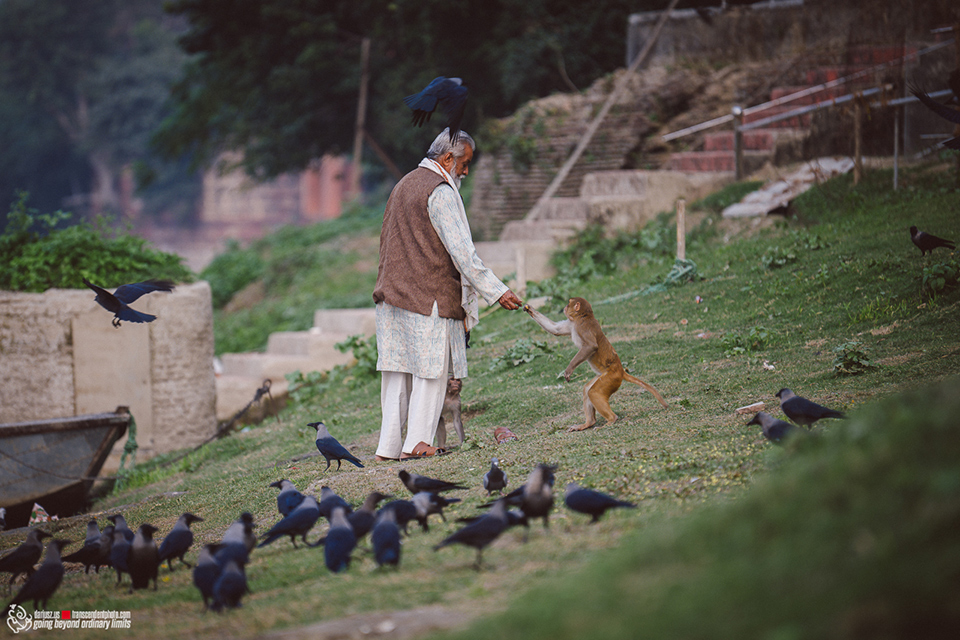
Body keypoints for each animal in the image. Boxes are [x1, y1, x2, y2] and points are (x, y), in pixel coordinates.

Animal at [524, 298, 668, 432]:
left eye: (568, 303)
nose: (564, 307)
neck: (582, 317)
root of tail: (621, 370)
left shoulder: (582, 326)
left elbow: (591, 346)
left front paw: (569, 370)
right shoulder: (572, 325)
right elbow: (556, 329)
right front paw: (529, 308)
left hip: (611, 377)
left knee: (594, 392)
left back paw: (611, 419)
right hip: (604, 376)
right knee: (587, 389)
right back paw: (589, 423)